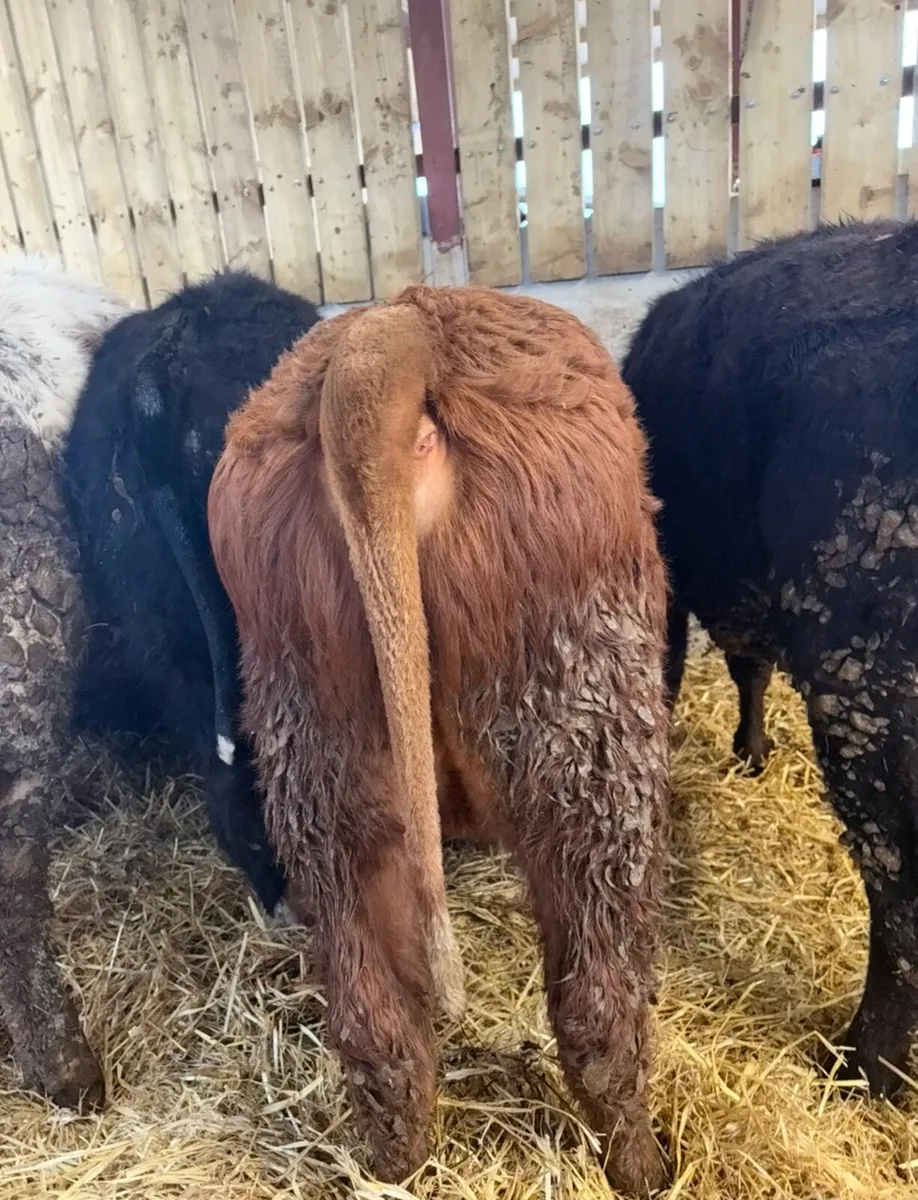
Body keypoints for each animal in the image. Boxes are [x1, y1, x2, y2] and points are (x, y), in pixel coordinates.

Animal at [207, 285, 670, 1193]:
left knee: (375, 1021)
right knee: (600, 1011)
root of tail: (396, 329)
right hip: (586, 733)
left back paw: (398, 1158)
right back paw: (643, 1164)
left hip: (314, 731)